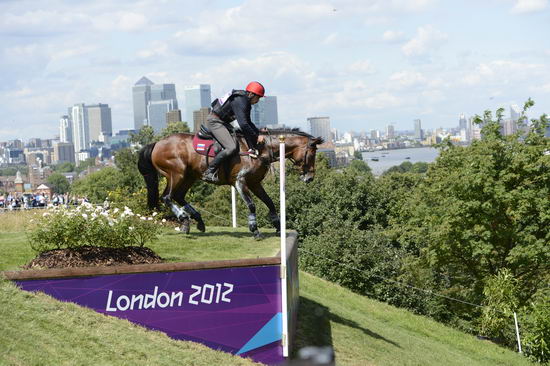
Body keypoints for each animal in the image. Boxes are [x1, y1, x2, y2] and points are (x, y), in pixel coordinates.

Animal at [138, 130, 326, 239]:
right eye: (312, 154)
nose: (309, 178)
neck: (259, 150)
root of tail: (157, 143)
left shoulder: (255, 183)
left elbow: (270, 203)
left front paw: (278, 226)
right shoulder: (240, 182)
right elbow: (251, 205)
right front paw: (254, 229)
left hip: (189, 176)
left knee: (178, 196)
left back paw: (195, 221)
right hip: (177, 174)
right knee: (167, 197)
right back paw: (184, 218)